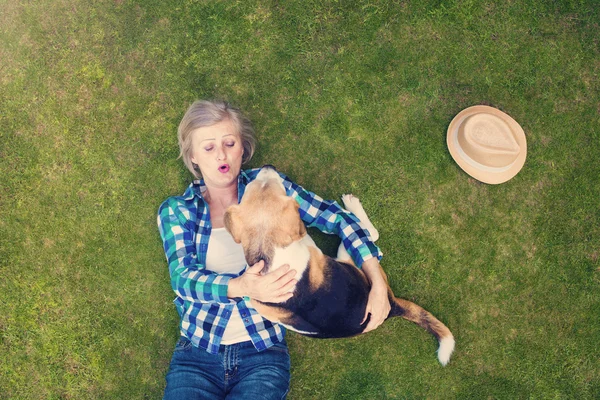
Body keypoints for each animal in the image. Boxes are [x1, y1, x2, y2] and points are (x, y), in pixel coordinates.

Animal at [225, 166, 454, 366]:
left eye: (250, 187)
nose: (268, 166)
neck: (266, 252)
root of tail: (391, 305)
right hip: (348, 258)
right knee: (369, 236)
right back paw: (353, 205)